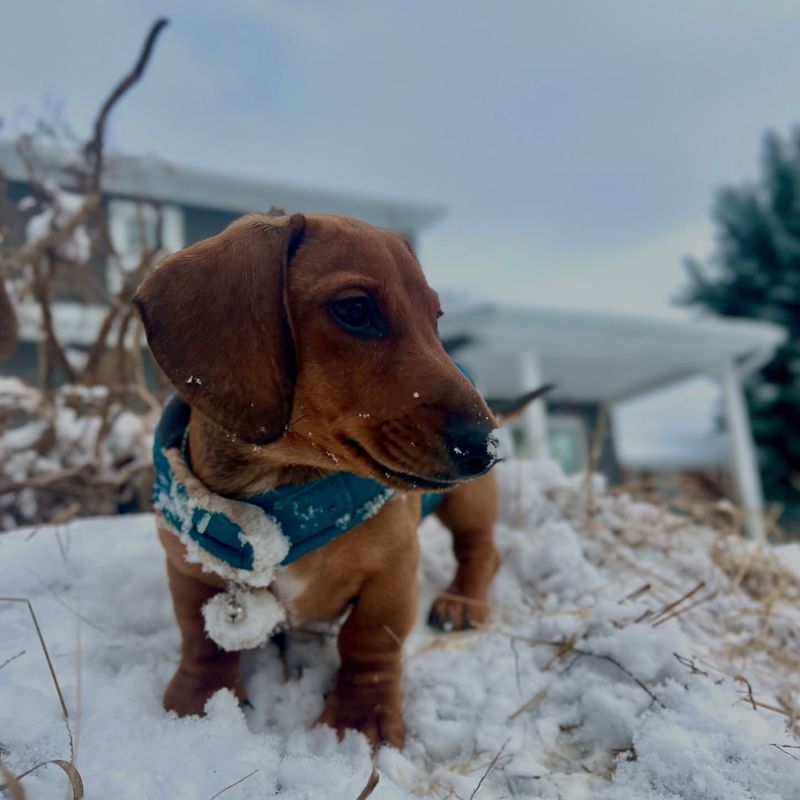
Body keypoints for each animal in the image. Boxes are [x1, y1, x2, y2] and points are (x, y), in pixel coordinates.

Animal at [135, 209, 504, 748]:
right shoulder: (186, 566)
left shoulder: (393, 571)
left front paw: (361, 720)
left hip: (468, 502)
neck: (289, 495)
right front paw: (198, 704)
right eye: (354, 310)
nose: (488, 447)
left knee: (481, 550)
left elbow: (368, 639)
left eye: (435, 319)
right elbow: (201, 636)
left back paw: (460, 601)